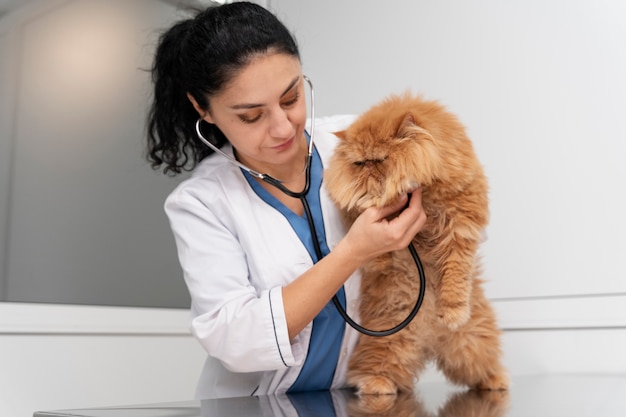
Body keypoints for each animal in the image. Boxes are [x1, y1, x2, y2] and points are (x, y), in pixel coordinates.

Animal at [322, 92, 508, 394]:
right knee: (375, 369)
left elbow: (455, 274)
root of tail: (432, 338)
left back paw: (495, 380)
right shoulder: (352, 210)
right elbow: (361, 217)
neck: (425, 192)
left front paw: (453, 312)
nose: (369, 168)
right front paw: (380, 259)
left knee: (484, 367)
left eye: (381, 159)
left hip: (471, 344)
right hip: (388, 339)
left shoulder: (461, 226)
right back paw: (377, 386)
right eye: (359, 163)